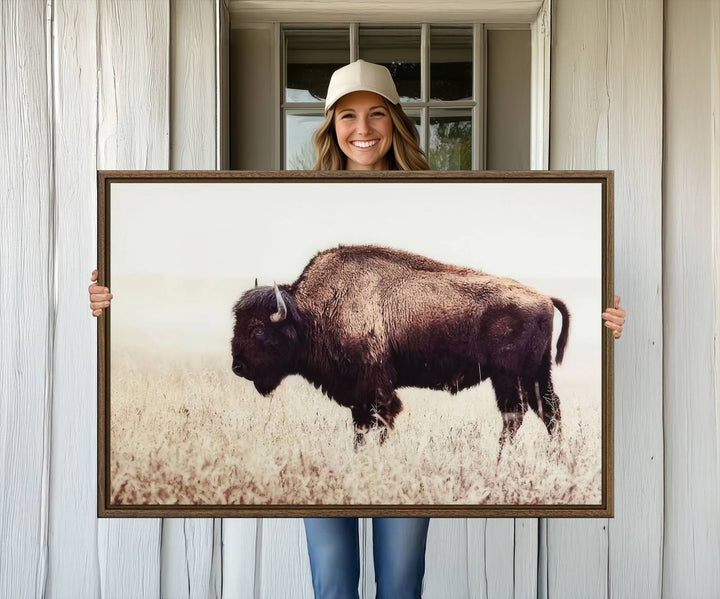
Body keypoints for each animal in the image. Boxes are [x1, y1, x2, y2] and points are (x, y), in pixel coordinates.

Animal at [231, 244, 568, 446]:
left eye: (258, 329)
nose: (237, 367)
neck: (310, 312)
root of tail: (544, 297)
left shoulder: (375, 388)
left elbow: (379, 421)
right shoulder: (359, 395)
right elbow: (361, 426)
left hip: (509, 377)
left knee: (515, 414)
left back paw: (500, 459)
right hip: (537, 374)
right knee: (548, 411)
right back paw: (555, 458)